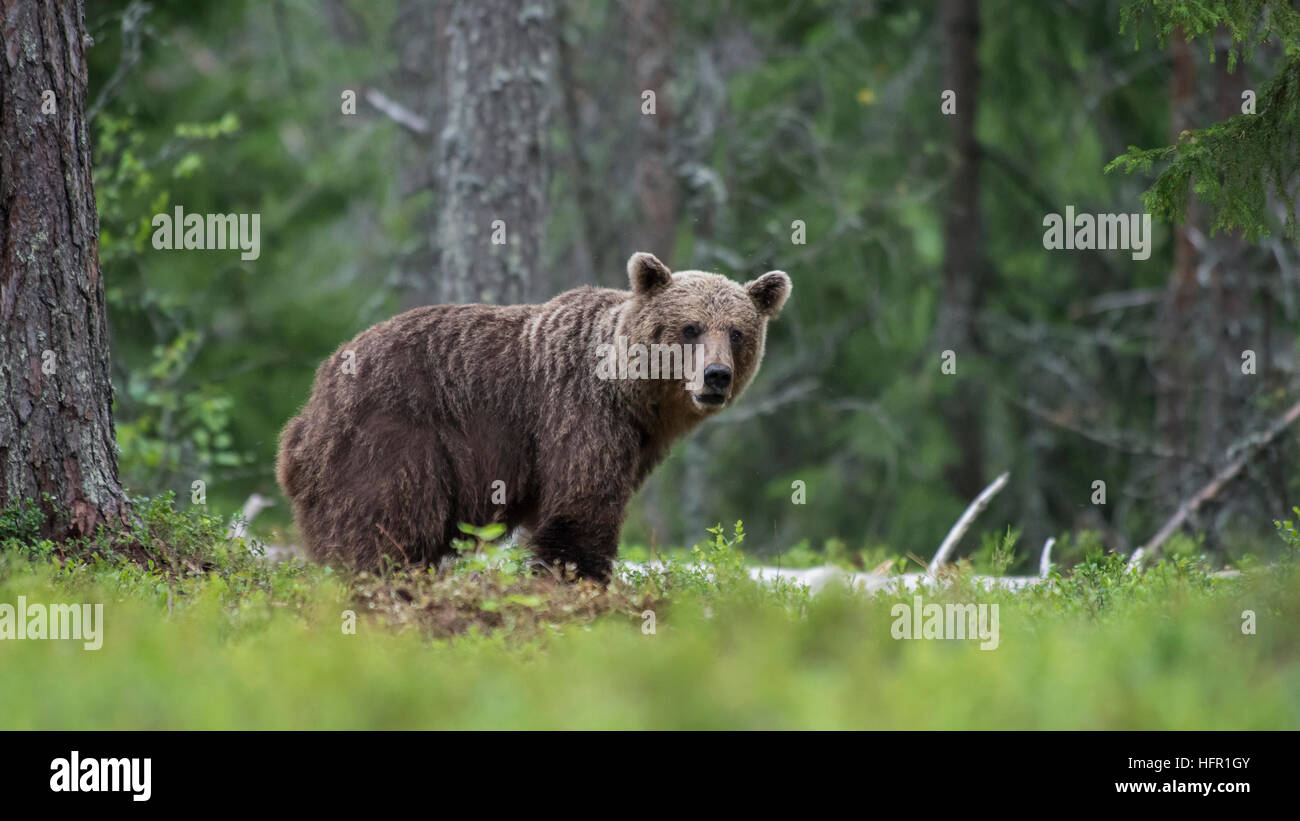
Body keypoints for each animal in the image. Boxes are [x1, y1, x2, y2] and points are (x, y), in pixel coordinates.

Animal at [276, 253, 790, 579]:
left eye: (738, 332)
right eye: (690, 328)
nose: (716, 375)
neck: (633, 397)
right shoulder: (577, 411)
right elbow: (581, 507)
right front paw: (580, 581)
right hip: (392, 438)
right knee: (386, 525)